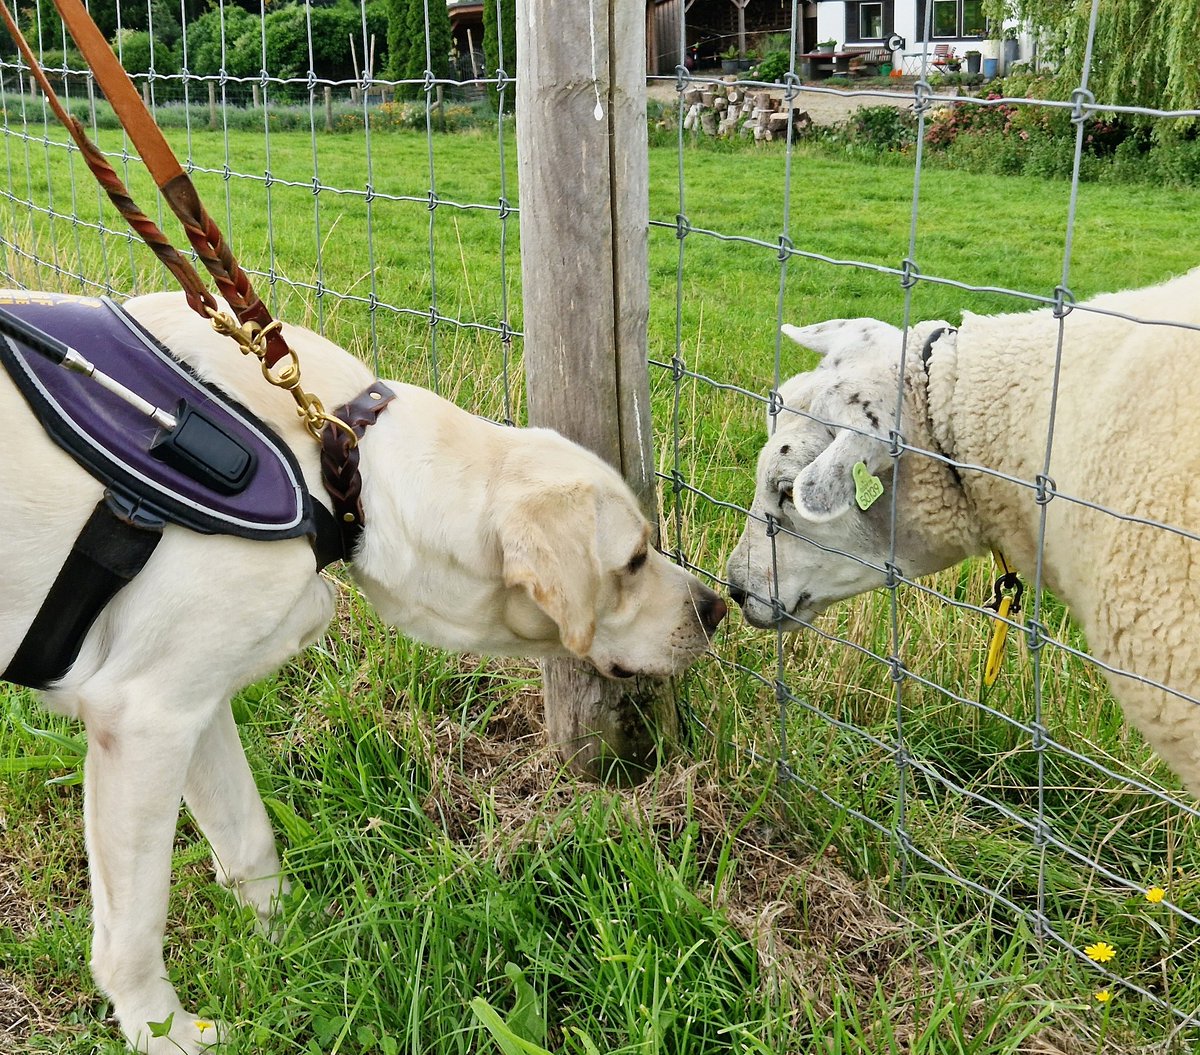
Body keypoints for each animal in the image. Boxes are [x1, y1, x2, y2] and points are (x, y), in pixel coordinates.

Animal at [0, 290, 720, 1055]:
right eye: (634, 560)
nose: (717, 608)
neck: (335, 460)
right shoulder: (142, 719)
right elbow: (133, 927)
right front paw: (161, 1031)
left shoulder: (191, 701)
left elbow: (248, 836)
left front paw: (290, 942)